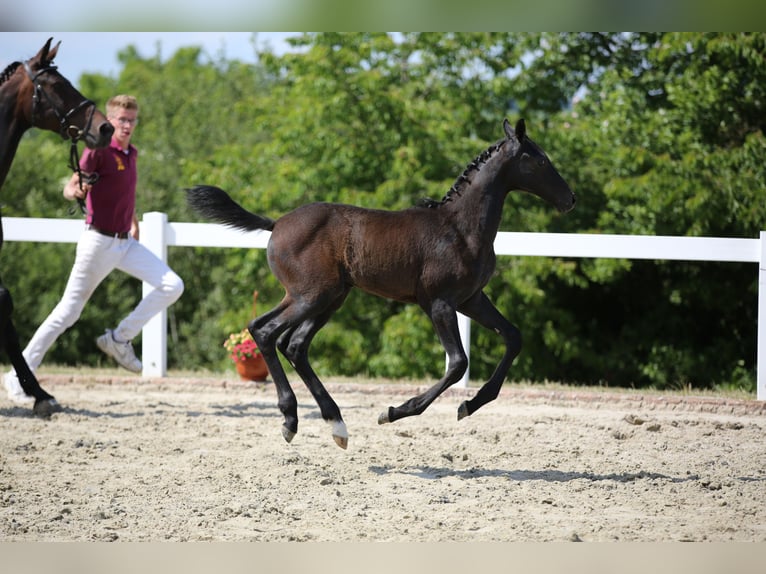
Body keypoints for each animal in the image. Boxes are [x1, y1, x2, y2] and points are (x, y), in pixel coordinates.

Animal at [189, 118, 576, 450]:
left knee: (294, 344)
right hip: (310, 295)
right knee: (266, 331)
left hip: (328, 297)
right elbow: (457, 363)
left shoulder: (472, 299)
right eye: (541, 160)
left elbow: (513, 337)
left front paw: (471, 403)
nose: (570, 199)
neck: (460, 228)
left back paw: (336, 425)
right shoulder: (439, 303)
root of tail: (276, 224)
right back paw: (291, 420)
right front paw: (394, 412)